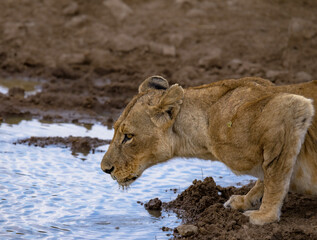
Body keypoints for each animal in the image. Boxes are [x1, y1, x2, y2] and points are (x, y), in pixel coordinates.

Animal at [101, 76, 316, 225]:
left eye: (128, 136)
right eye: (115, 129)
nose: (105, 169)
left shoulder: (290, 109)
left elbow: (275, 175)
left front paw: (265, 216)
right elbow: (265, 177)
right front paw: (244, 201)